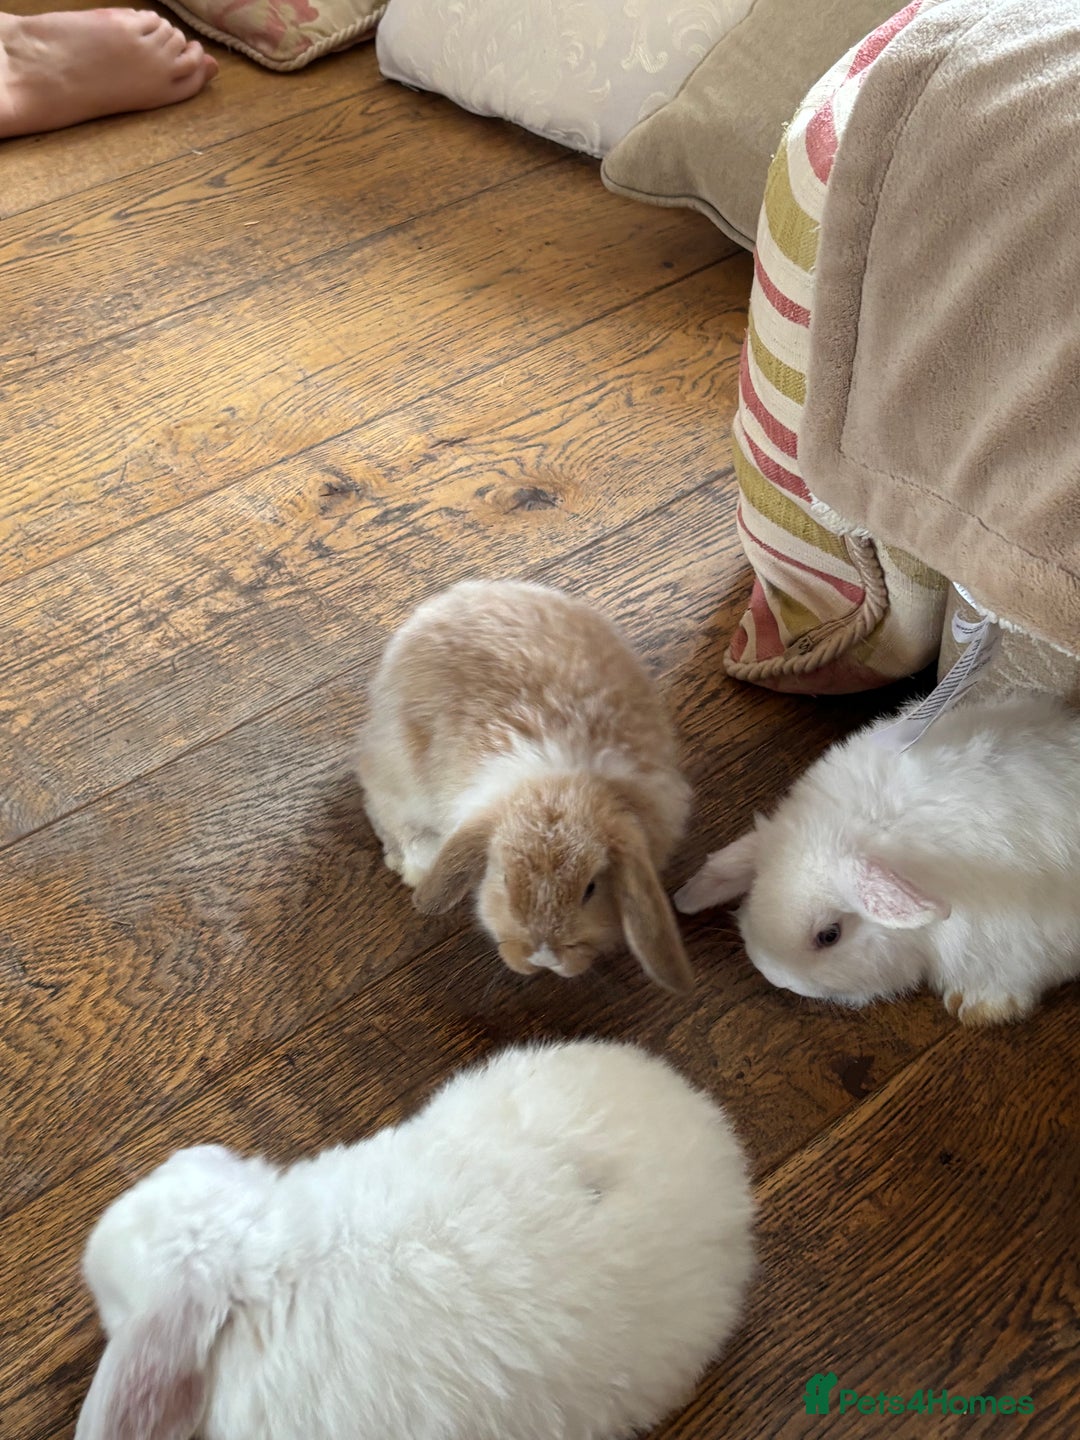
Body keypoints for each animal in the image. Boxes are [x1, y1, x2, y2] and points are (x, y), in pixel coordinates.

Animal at [355, 580, 694, 990]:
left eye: (591, 889)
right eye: (502, 877)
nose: (543, 958)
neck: (559, 782)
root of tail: (446, 601)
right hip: (400, 767)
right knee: (385, 809)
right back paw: (416, 863)